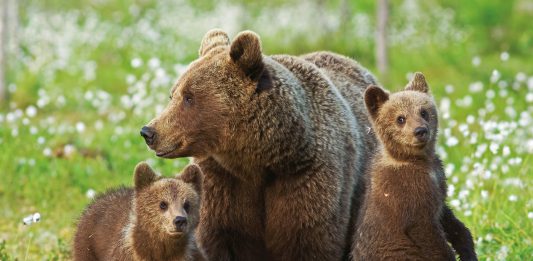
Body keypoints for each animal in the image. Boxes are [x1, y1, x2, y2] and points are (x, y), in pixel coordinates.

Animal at [352, 72, 476, 258]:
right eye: (400, 118)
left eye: (423, 112)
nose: (420, 131)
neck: (415, 159)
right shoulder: (408, 194)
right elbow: (425, 232)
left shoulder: (437, 182)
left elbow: (448, 218)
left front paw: (467, 248)